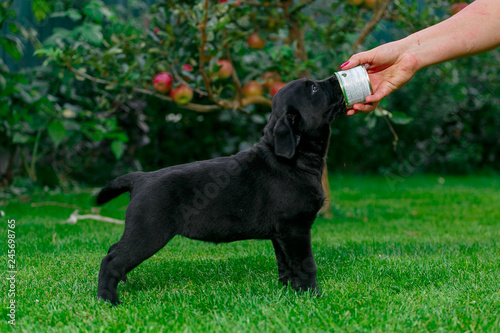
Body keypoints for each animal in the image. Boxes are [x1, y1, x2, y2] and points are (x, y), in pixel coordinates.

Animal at [95, 75, 346, 304]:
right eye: (313, 88)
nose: (335, 78)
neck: (293, 160)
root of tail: (140, 178)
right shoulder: (296, 229)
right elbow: (306, 264)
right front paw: (313, 295)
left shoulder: (281, 234)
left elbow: (285, 264)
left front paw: (289, 292)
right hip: (148, 233)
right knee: (111, 260)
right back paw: (107, 300)